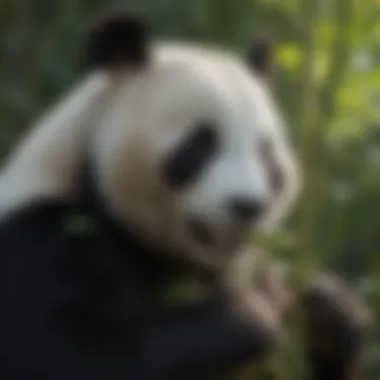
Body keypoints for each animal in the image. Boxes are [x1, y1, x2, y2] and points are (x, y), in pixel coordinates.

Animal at [0, 11, 372, 380]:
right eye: (199, 145)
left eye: (266, 154)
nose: (248, 206)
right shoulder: (41, 237)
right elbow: (72, 354)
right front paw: (254, 311)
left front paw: (329, 309)